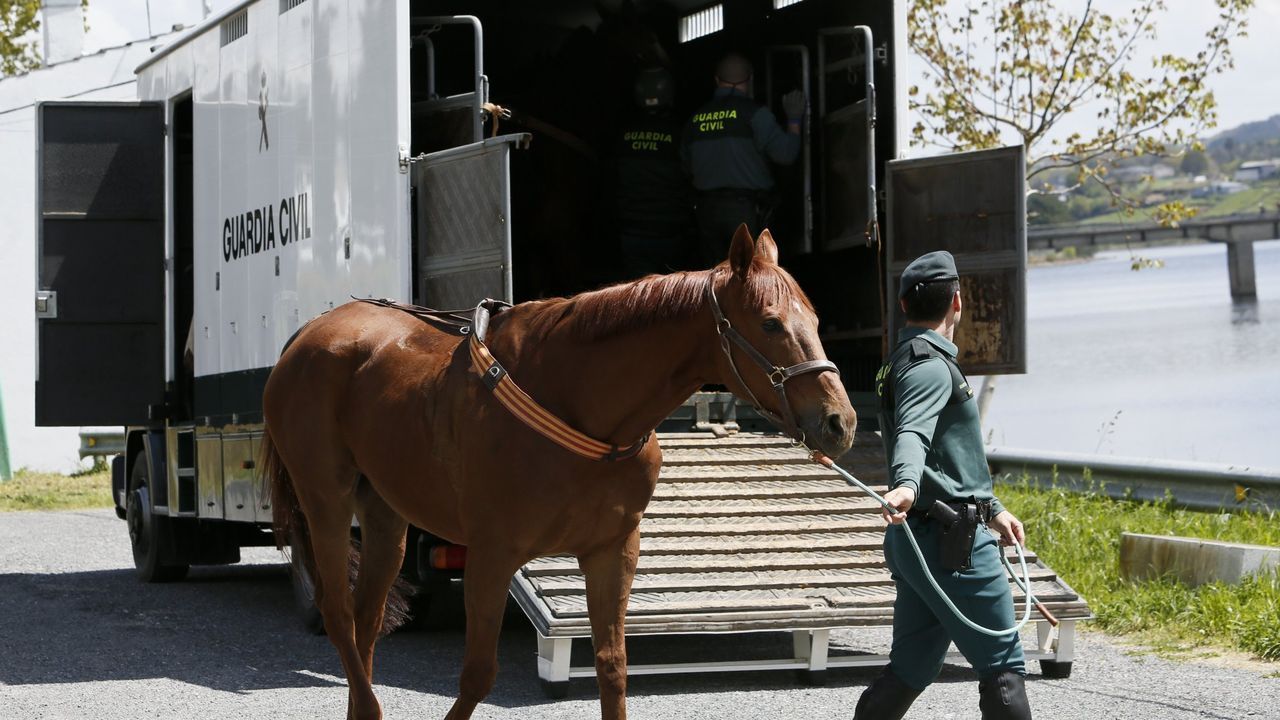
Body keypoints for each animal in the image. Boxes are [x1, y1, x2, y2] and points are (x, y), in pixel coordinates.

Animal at [259, 225, 856, 720]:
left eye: (815, 320)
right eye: (771, 323)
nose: (840, 422)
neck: (577, 403)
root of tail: (307, 337)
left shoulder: (612, 551)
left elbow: (613, 669)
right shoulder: (492, 555)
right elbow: (478, 676)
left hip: (385, 515)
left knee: (365, 620)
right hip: (327, 501)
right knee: (338, 613)